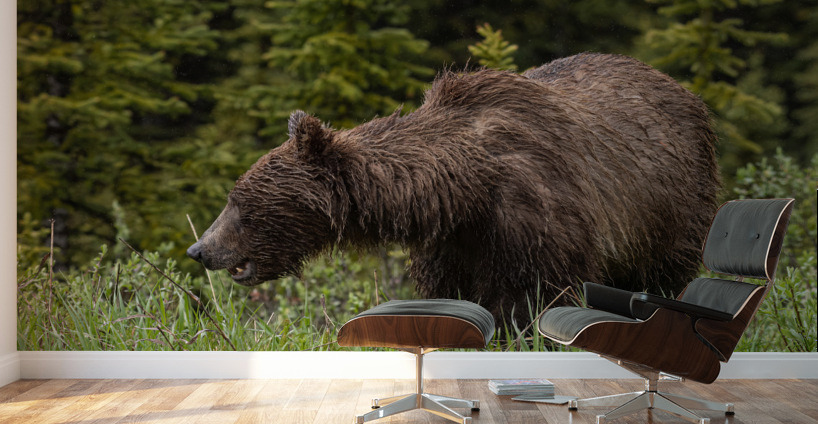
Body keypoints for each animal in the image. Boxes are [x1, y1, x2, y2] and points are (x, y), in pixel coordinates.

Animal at [186, 53, 720, 326]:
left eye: (239, 203)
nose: (199, 249)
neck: (463, 190)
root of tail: (682, 89)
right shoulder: (452, 241)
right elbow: (451, 292)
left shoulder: (536, 213)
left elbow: (533, 296)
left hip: (668, 205)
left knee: (661, 274)